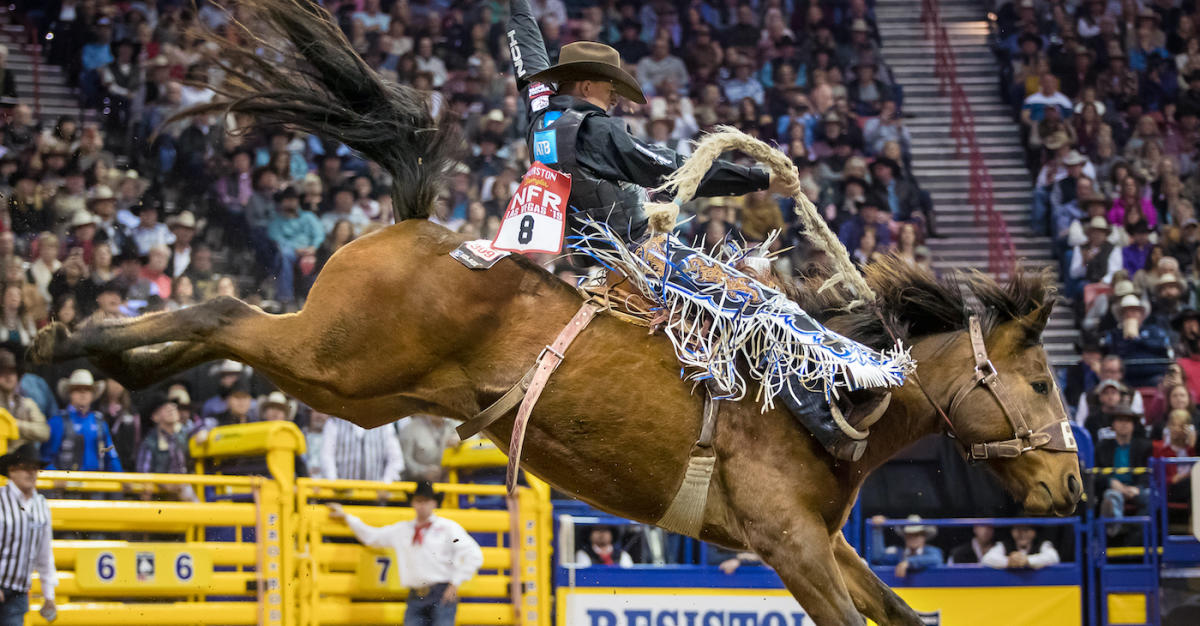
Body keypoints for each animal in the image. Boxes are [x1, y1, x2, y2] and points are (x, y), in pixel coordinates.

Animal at [28, 2, 1084, 618]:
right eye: (1038, 380)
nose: (1074, 489)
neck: (832, 392)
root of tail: (415, 228)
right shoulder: (793, 551)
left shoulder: (823, 548)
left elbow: (901, 610)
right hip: (337, 360)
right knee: (218, 310)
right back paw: (66, 338)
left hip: (355, 387)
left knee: (226, 329)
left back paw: (103, 357)